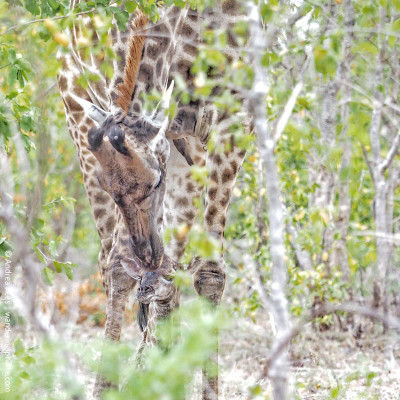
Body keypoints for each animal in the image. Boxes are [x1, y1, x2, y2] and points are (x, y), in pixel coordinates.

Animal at [58, 0, 248, 396]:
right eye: (110, 186)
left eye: (155, 181)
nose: (147, 252)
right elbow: (119, 268)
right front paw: (106, 386)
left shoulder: (232, 117)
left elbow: (209, 273)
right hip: (78, 111)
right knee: (113, 261)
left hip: (190, 150)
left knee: (175, 266)